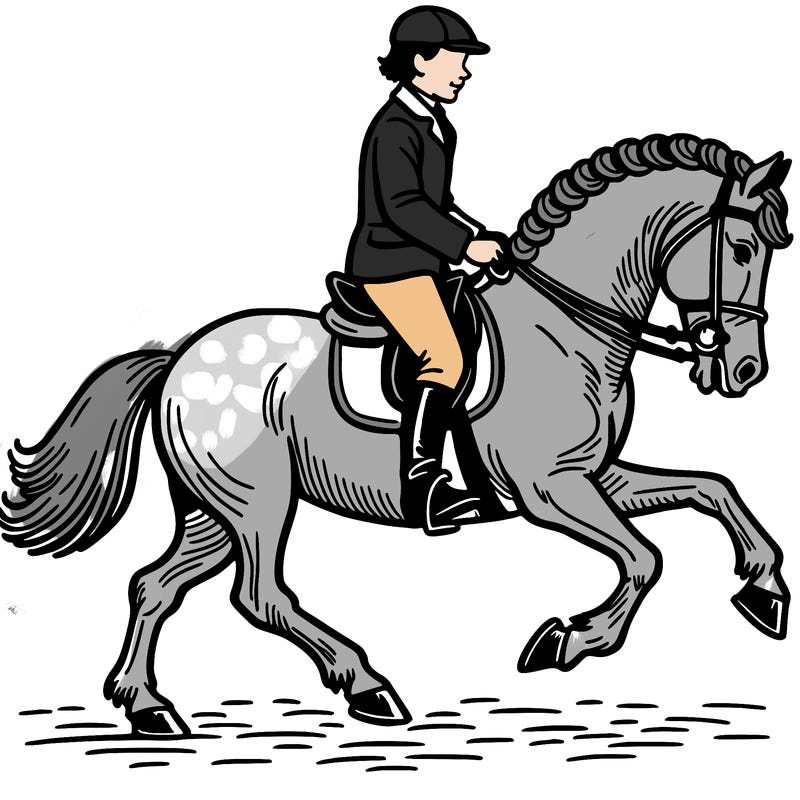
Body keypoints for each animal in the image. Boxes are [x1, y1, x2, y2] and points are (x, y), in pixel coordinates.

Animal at [1, 133, 792, 736]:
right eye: (742, 248)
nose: (745, 369)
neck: (566, 326)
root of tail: (179, 358)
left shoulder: (599, 475)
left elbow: (712, 488)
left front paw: (765, 591)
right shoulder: (551, 490)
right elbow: (645, 559)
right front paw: (568, 641)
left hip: (212, 513)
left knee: (155, 586)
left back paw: (149, 707)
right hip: (257, 503)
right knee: (260, 596)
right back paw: (368, 686)